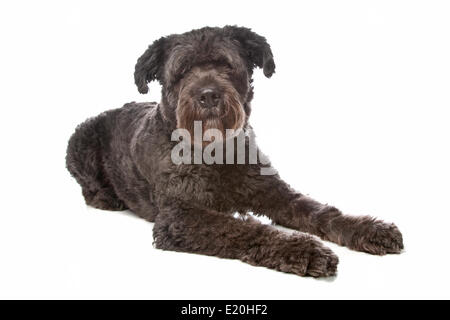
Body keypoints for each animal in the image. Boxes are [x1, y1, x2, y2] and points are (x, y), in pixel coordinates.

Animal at [65, 26, 402, 278]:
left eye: (226, 65)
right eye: (182, 71)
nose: (208, 95)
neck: (217, 153)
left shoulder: (273, 190)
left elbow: (318, 210)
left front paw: (368, 228)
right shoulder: (181, 216)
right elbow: (241, 228)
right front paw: (302, 249)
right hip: (79, 140)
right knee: (87, 185)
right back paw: (106, 198)